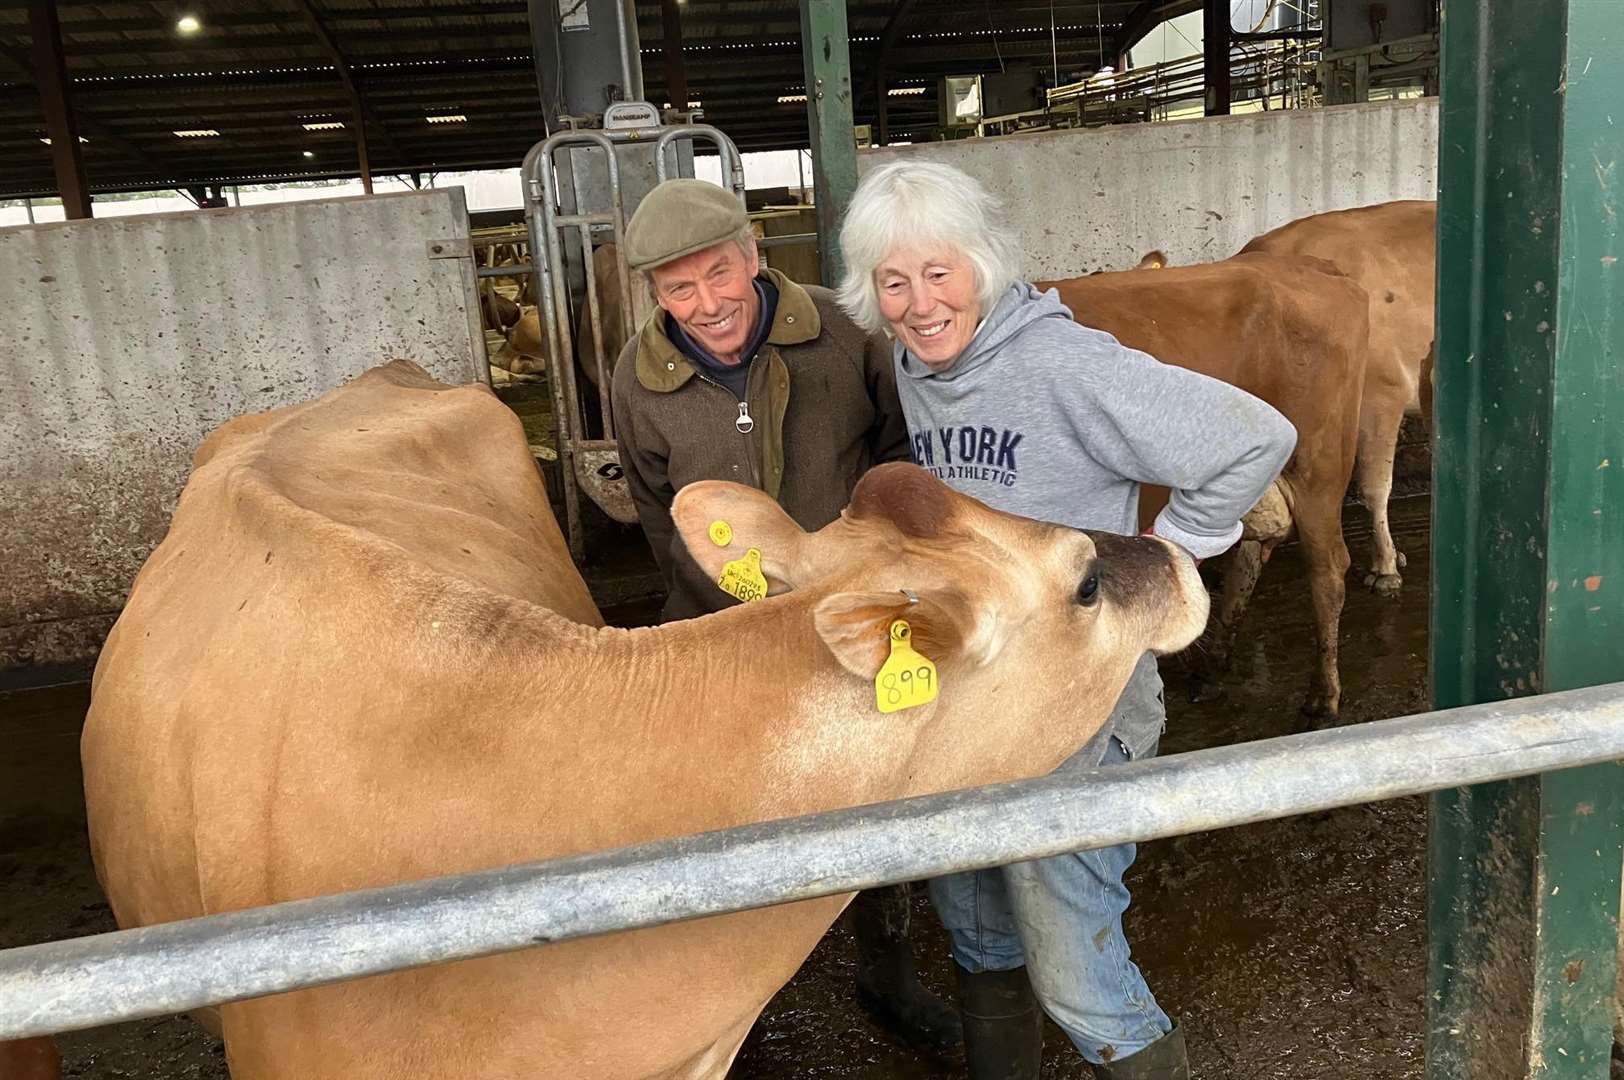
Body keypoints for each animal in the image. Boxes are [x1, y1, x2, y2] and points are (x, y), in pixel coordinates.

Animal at [1039, 253, 1370, 721]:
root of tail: (1311, 265)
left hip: (1318, 466)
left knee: (1328, 570)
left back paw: (1323, 696)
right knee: (1247, 560)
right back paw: (1213, 670)